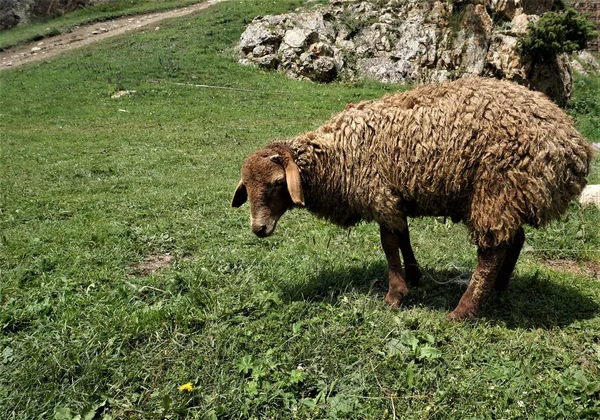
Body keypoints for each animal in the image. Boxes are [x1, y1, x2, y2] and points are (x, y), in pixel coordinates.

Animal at [232, 75, 592, 320]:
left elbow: (389, 244)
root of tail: (575, 146)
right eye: (247, 188)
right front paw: (415, 276)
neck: (337, 154)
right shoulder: (395, 196)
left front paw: (395, 295)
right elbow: (403, 237)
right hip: (509, 195)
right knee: (513, 240)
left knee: (492, 251)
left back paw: (463, 311)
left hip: (496, 188)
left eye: (278, 183)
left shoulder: (379, 194)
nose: (258, 229)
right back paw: (500, 287)